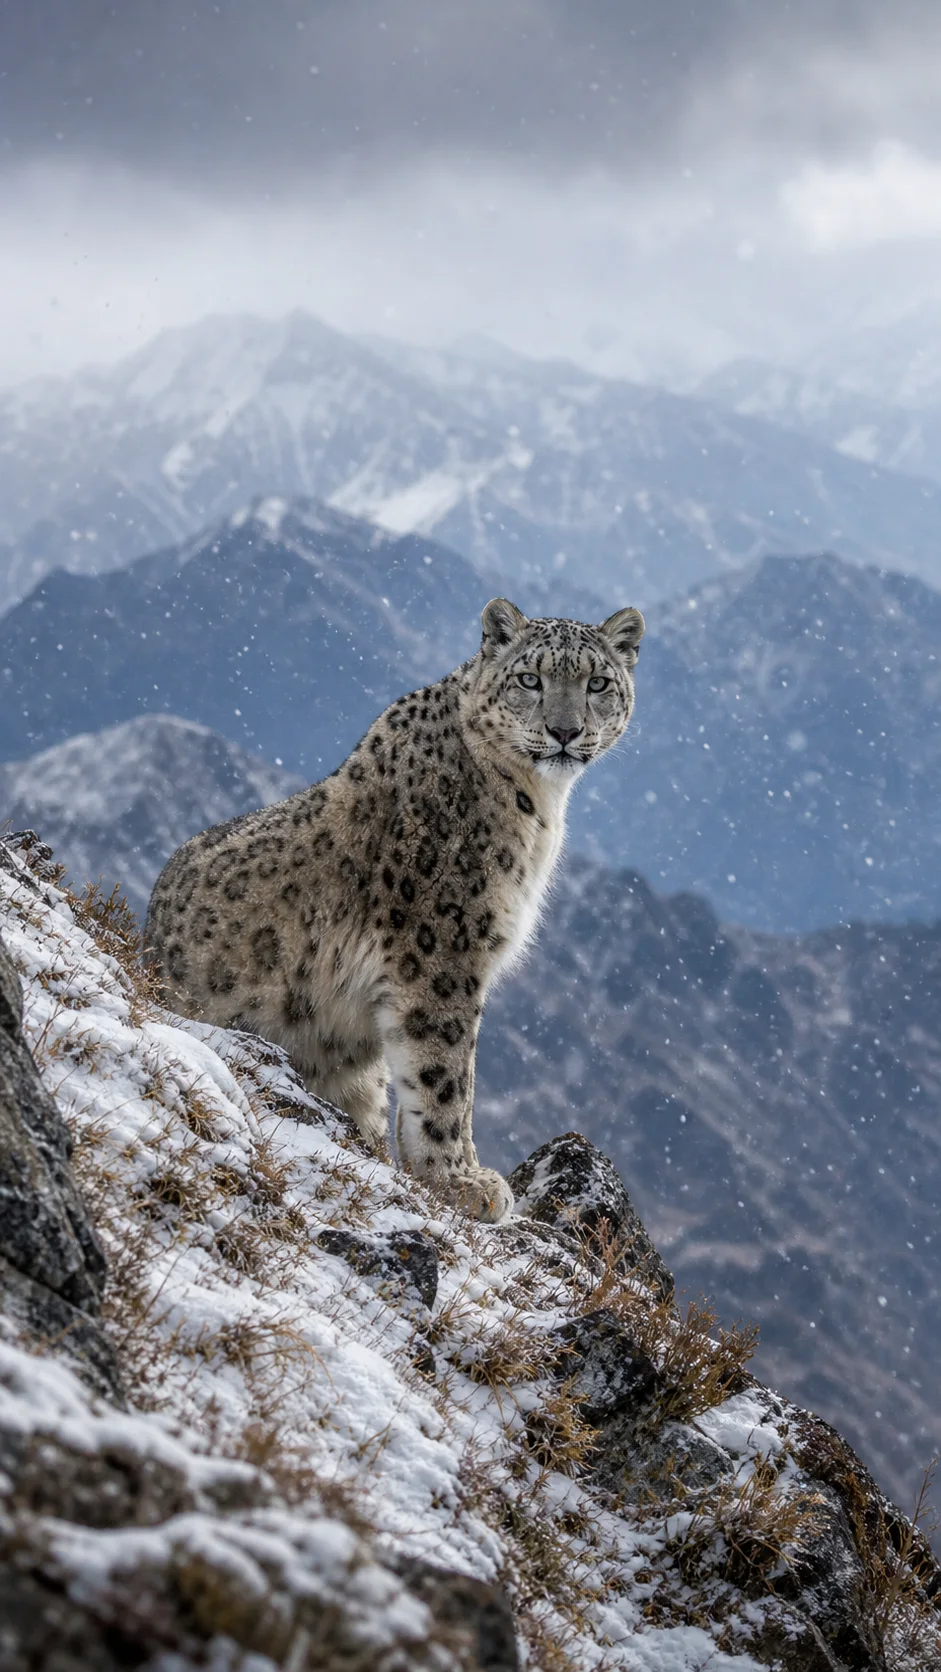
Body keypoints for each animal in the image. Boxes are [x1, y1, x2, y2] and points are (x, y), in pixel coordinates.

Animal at [144, 597, 645, 1222]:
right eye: (531, 679)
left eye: (598, 683)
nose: (565, 730)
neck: (539, 810)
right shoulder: (444, 953)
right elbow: (446, 1073)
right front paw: (460, 1180)